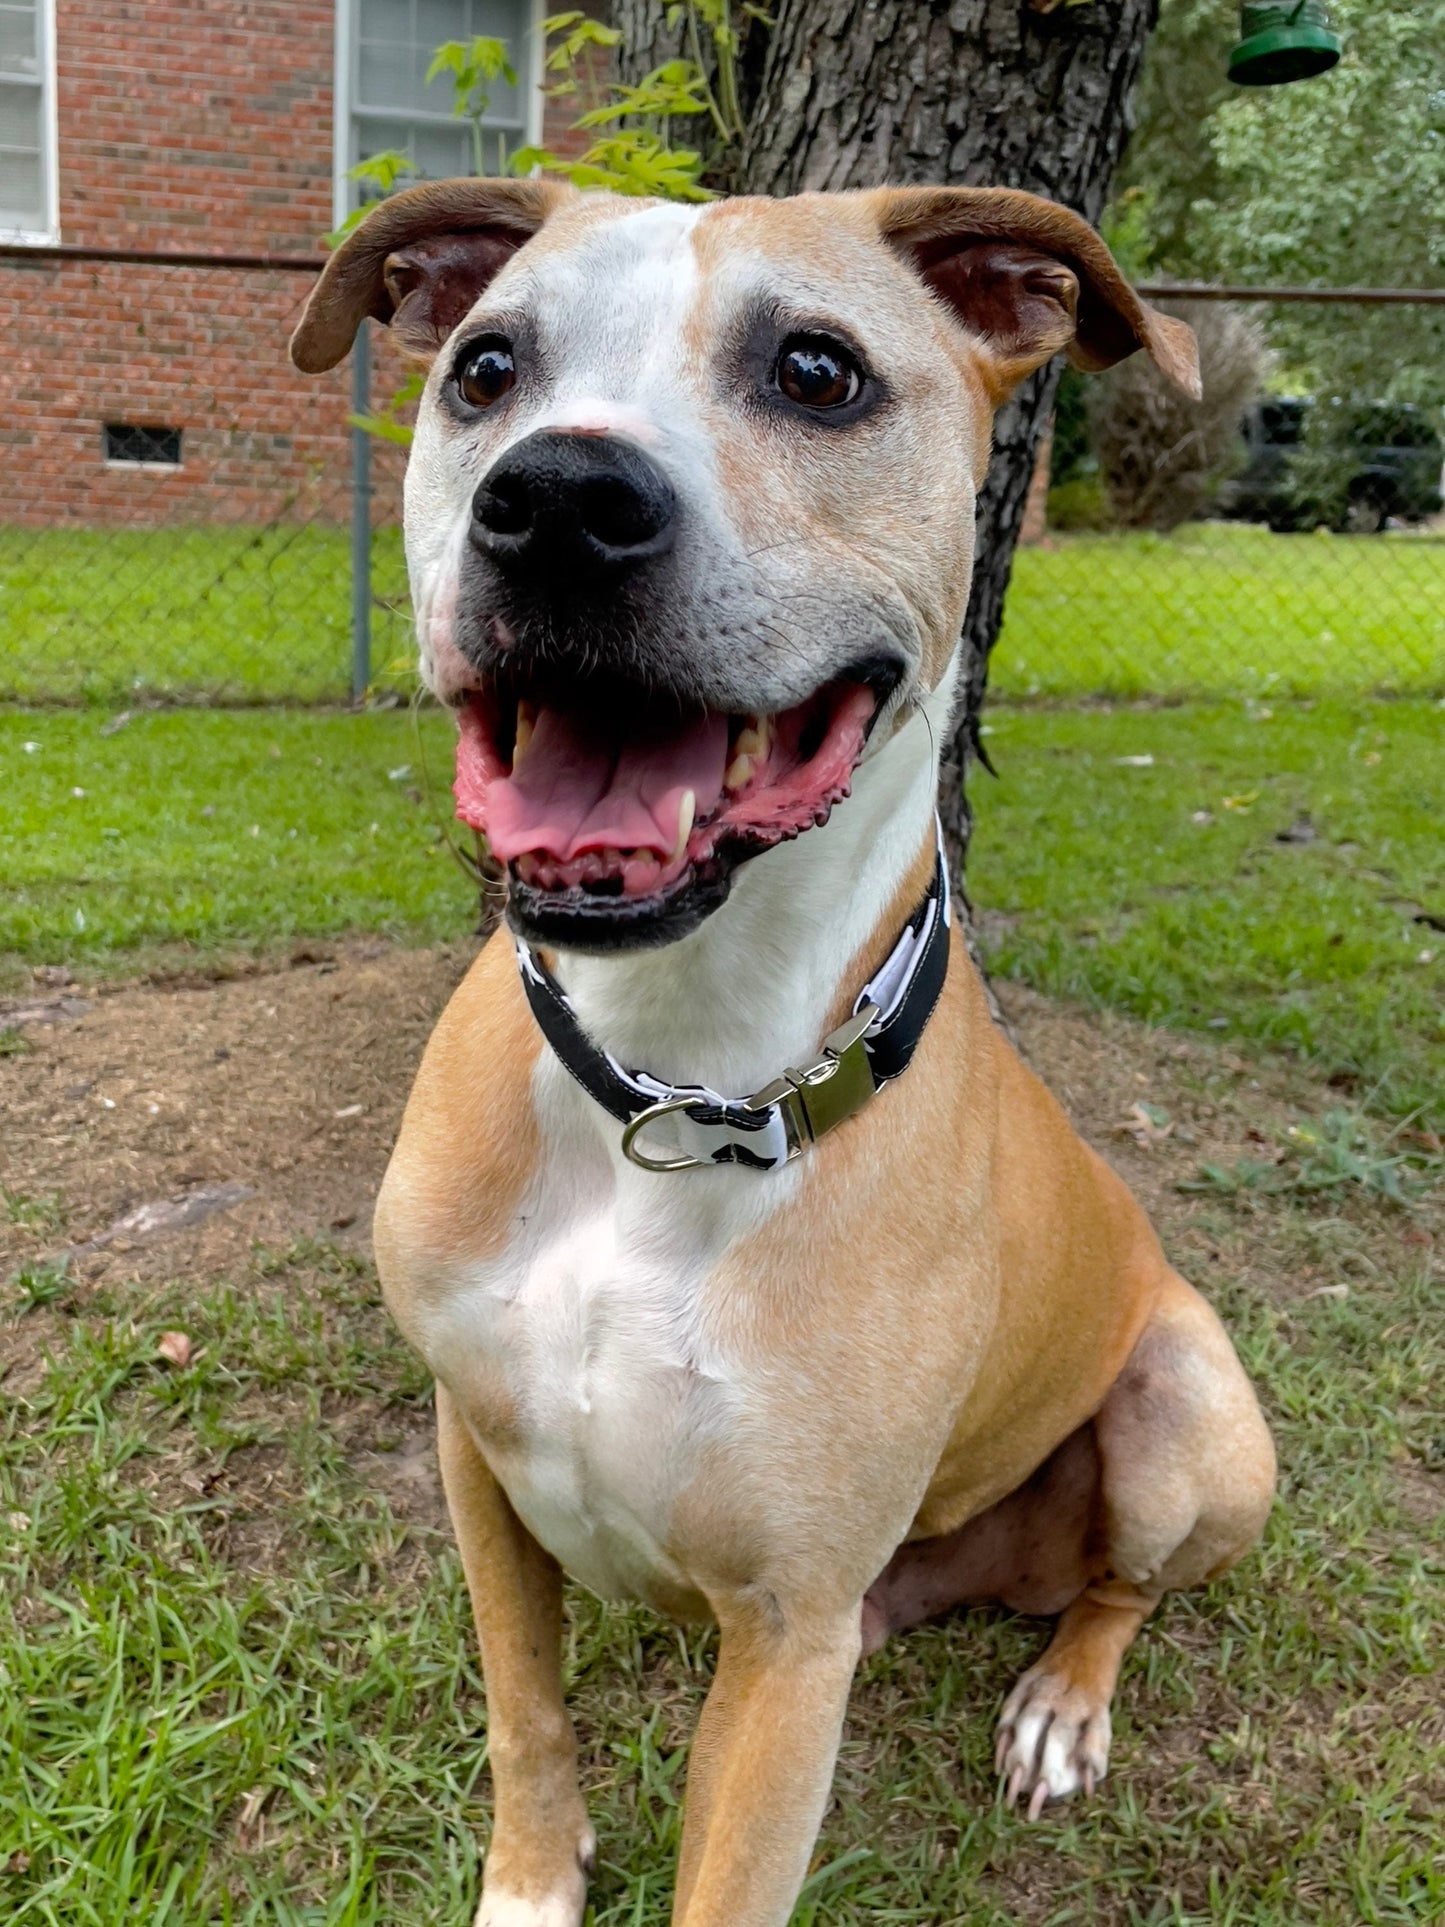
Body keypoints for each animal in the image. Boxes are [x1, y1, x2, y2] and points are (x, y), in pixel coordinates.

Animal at [294, 181, 1279, 1927]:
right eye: (485, 368)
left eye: (818, 371)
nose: (559, 499)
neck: (672, 1080)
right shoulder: (476, 1461)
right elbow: (525, 1710)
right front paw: (531, 1878)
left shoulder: (788, 1637)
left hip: (1184, 1421)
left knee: (1119, 1588)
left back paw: (1061, 1706)